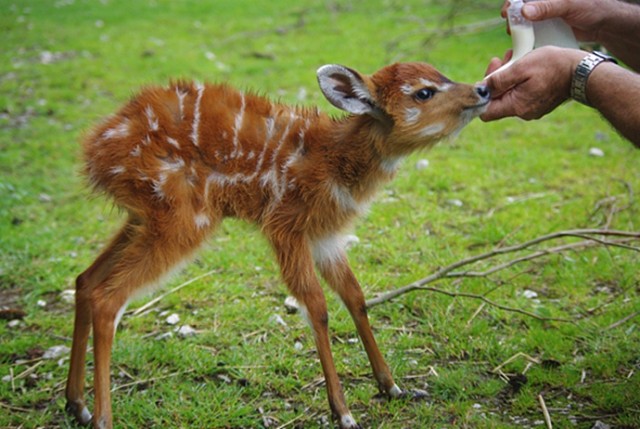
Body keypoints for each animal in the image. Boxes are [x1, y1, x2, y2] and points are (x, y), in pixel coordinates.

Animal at [66, 61, 490, 426]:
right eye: (424, 92)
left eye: (440, 73)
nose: (483, 89)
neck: (334, 163)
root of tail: (94, 152)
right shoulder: (285, 226)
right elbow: (317, 308)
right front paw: (343, 412)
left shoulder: (326, 237)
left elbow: (355, 297)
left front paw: (393, 387)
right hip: (181, 218)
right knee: (108, 297)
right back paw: (102, 418)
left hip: (144, 217)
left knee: (85, 280)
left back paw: (78, 405)